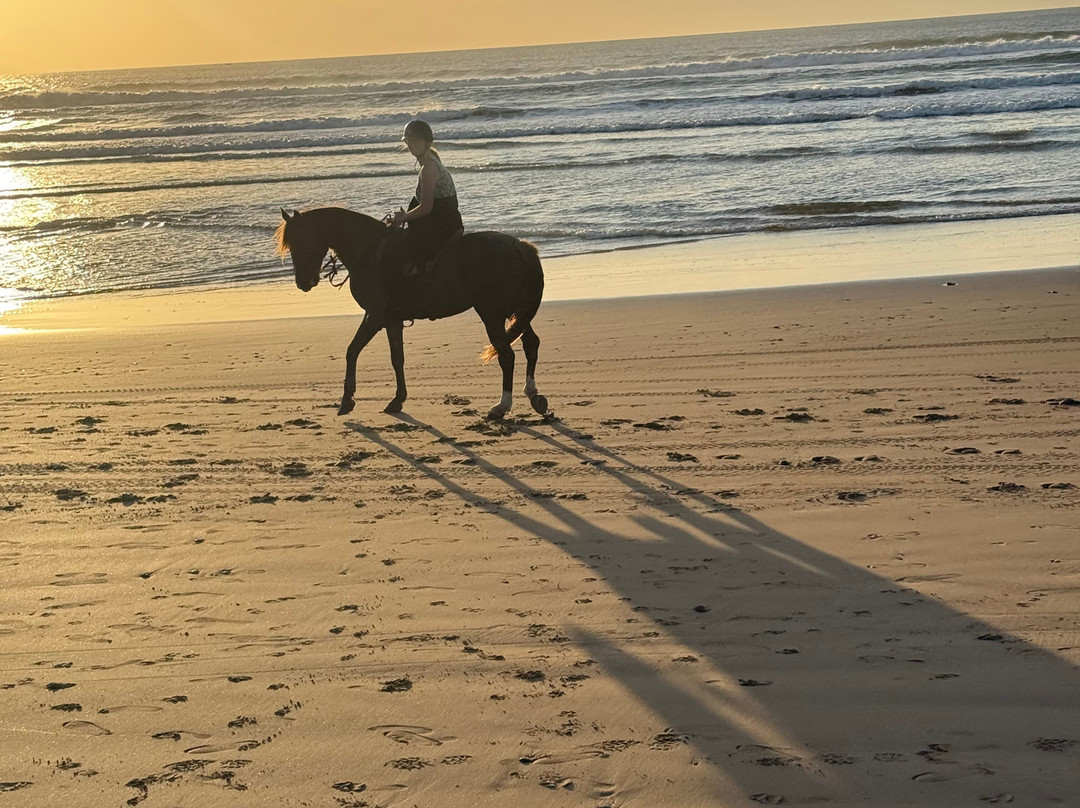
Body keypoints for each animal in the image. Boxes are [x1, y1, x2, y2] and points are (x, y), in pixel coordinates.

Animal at [275, 207, 549, 420]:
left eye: (300, 241)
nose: (303, 282)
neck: (368, 251)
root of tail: (521, 248)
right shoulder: (391, 320)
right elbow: (397, 358)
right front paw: (397, 400)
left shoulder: (375, 316)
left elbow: (352, 351)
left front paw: (346, 401)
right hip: (514, 312)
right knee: (531, 344)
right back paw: (533, 395)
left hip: (492, 314)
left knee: (507, 356)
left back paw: (502, 406)